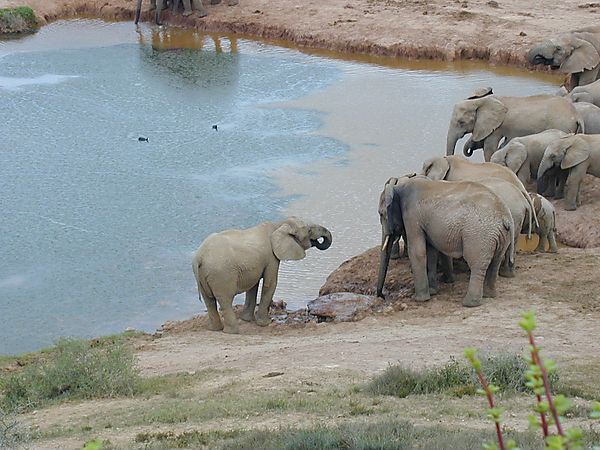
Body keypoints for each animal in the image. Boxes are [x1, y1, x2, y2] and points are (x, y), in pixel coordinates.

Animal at [193, 216, 330, 332]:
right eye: (309, 230)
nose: (319, 240)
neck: (279, 224)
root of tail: (199, 258)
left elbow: (253, 286)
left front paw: (247, 319)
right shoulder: (271, 257)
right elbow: (270, 284)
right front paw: (265, 323)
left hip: (203, 275)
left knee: (209, 301)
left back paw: (215, 329)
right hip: (221, 275)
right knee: (225, 300)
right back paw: (232, 332)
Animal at [378, 174, 512, 308]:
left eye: (381, 214)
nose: (382, 297)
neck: (398, 187)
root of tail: (506, 218)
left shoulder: (412, 216)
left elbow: (417, 252)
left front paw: (419, 299)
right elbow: (431, 251)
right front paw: (432, 292)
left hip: (478, 235)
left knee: (476, 264)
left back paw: (469, 303)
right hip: (500, 236)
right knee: (495, 261)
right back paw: (489, 295)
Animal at [448, 93, 584, 162]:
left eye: (461, 122)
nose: (469, 150)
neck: (480, 101)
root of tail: (577, 115)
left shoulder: (497, 126)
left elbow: (489, 148)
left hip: (562, 125)